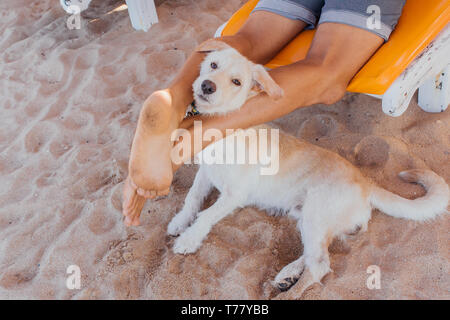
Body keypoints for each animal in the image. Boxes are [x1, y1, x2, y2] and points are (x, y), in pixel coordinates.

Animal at [167, 40, 448, 298]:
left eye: (236, 82)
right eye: (213, 65)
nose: (207, 86)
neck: (223, 132)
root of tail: (366, 183)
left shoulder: (234, 195)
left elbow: (206, 215)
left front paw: (189, 239)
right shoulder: (206, 172)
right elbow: (192, 198)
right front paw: (180, 222)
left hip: (315, 213)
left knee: (320, 265)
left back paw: (289, 292)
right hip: (309, 218)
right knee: (316, 253)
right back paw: (287, 273)